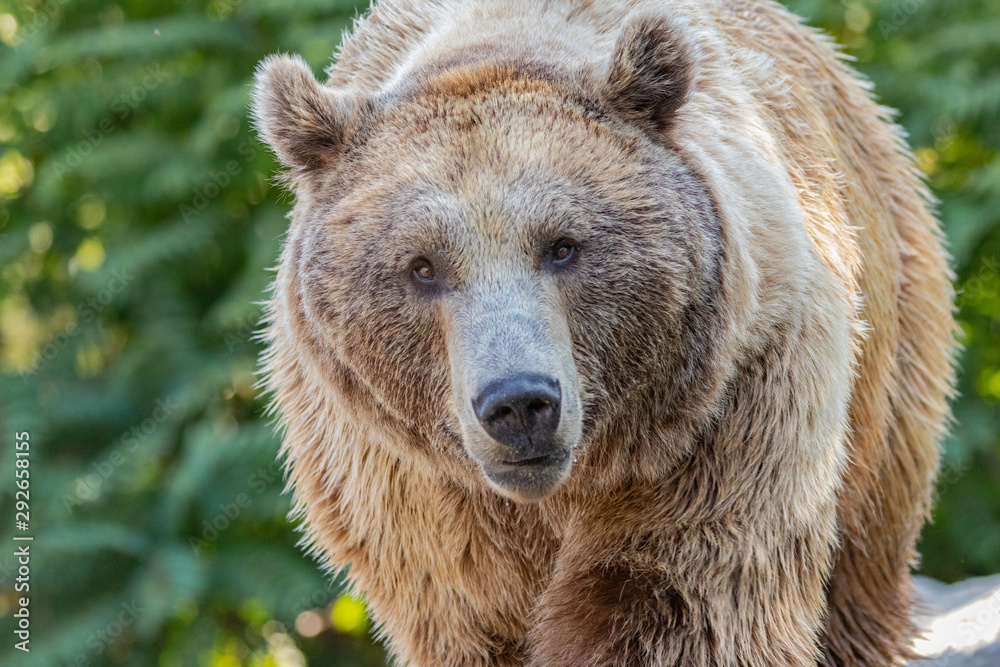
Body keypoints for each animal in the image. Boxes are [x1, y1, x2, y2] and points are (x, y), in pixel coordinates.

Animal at [250, 2, 952, 664]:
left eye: (563, 246)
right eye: (422, 266)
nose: (519, 403)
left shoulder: (727, 410)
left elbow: (673, 599)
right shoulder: (407, 484)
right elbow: (472, 616)